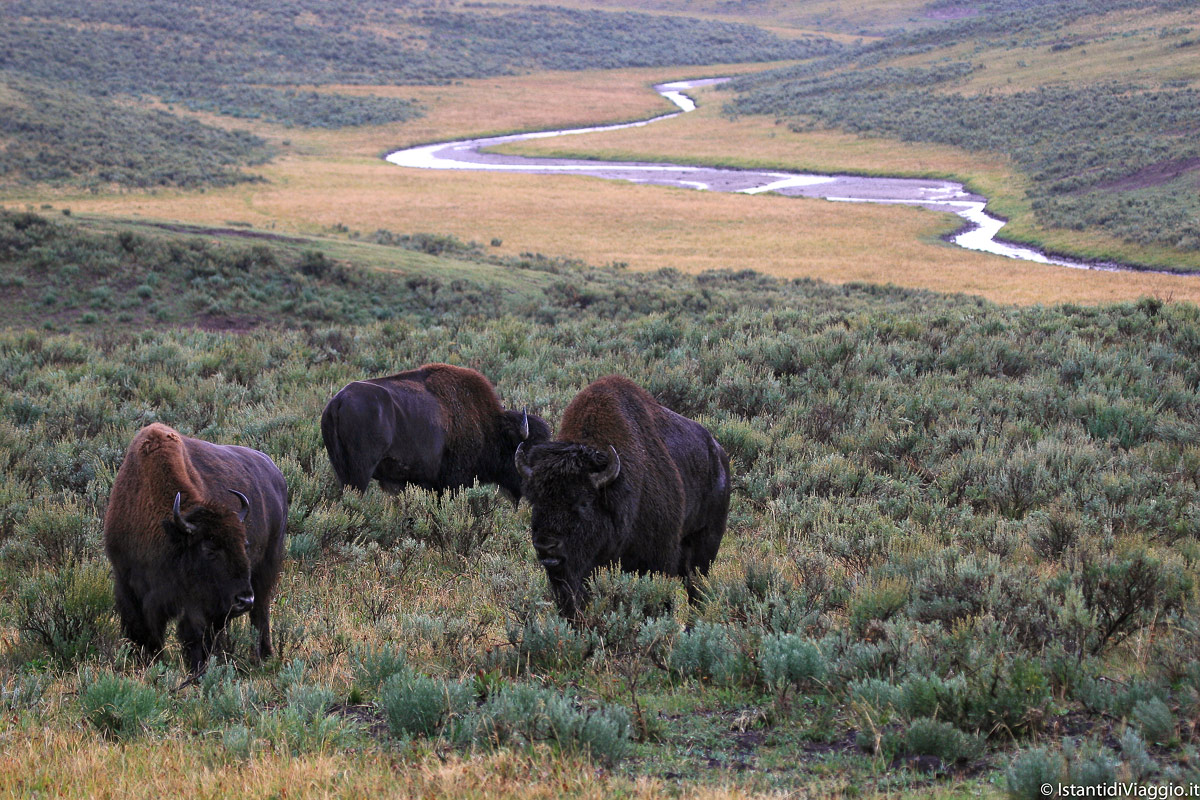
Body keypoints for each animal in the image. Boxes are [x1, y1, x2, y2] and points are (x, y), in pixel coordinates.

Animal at [103, 423, 287, 673]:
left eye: (245, 545)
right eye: (209, 550)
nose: (243, 600)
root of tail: (276, 474)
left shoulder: (195, 603)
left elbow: (195, 635)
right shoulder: (128, 585)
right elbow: (143, 633)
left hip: (265, 571)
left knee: (260, 613)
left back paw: (262, 656)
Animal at [320, 363, 551, 501]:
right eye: (527, 449)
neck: (489, 426)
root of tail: (338, 402)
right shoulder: (452, 483)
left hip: (342, 470)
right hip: (360, 473)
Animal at [515, 375, 730, 619]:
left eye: (584, 502)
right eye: (535, 500)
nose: (546, 545)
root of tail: (719, 454)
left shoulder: (657, 558)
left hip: (706, 542)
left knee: (695, 589)